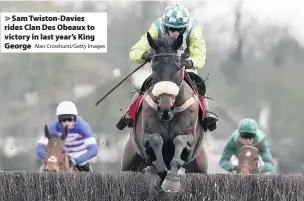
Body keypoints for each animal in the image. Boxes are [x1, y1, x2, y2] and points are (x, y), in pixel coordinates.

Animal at [121, 31, 209, 192]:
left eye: (178, 67)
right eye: (154, 67)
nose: (165, 108)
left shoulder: (190, 140)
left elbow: (180, 142)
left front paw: (171, 181)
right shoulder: (145, 137)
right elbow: (156, 139)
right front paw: (161, 171)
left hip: (200, 167)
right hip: (129, 162)